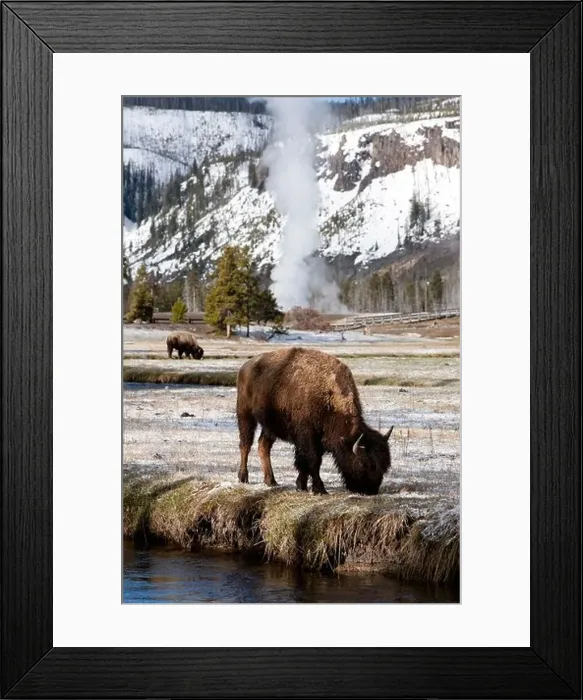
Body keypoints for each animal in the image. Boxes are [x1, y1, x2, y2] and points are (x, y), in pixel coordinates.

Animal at [236, 347, 393, 495]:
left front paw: (301, 486)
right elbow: (312, 460)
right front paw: (319, 489)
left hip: (270, 426)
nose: (370, 490)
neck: (328, 396)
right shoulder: (307, 436)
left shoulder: (315, 439)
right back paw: (243, 477)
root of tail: (246, 366)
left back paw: (271, 481)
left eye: (385, 465)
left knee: (263, 445)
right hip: (245, 414)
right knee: (246, 444)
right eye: (363, 463)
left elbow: (305, 463)